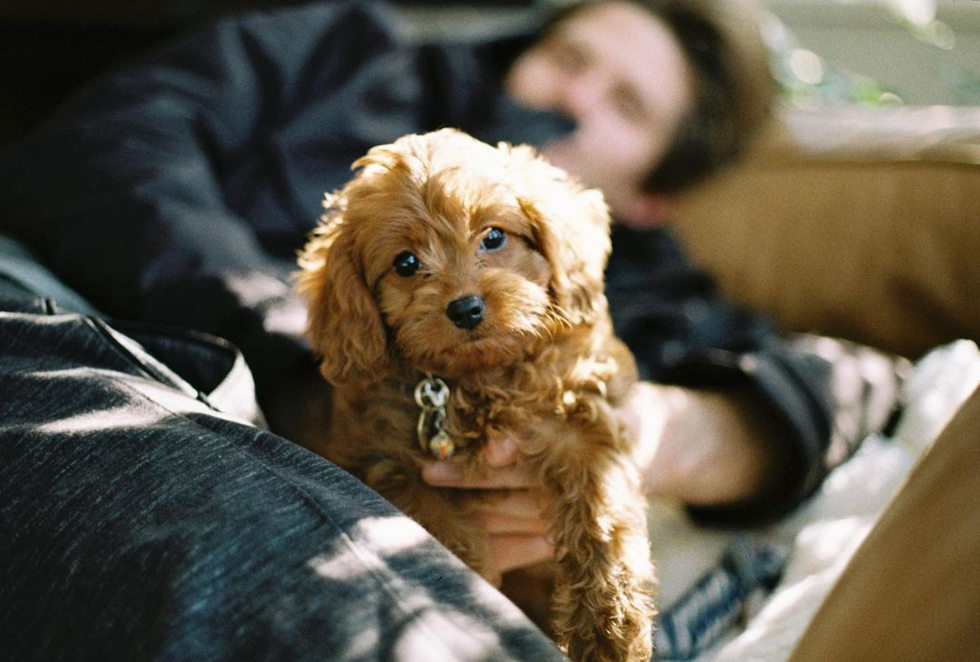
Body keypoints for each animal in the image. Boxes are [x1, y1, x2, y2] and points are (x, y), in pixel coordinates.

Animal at [294, 130, 656, 662]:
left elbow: (602, 515)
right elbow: (430, 520)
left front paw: (610, 629)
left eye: (493, 237)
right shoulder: (382, 457)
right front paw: (473, 593)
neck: (477, 380)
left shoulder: (583, 423)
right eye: (406, 264)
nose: (465, 308)